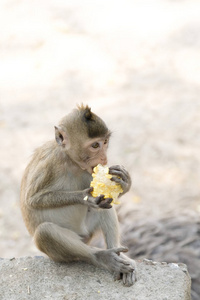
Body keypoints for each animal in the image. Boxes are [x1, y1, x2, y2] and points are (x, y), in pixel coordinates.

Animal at [19, 105, 136, 286]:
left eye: (105, 142)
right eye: (95, 145)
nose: (104, 159)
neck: (71, 162)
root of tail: (84, 236)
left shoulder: (90, 171)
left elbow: (107, 194)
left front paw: (125, 183)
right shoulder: (50, 164)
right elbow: (33, 200)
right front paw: (85, 197)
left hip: (89, 230)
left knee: (105, 207)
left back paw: (118, 255)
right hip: (60, 252)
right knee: (45, 232)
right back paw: (102, 257)